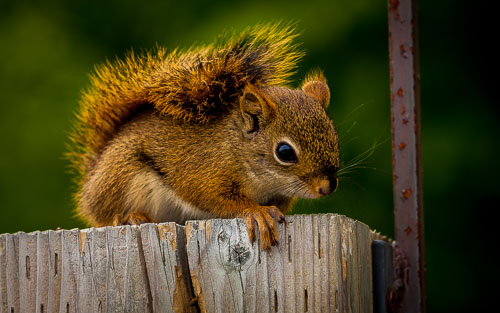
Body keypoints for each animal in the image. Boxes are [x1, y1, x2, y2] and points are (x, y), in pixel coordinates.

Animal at [69, 23, 340, 250]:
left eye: (334, 138)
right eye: (285, 152)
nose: (327, 187)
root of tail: (94, 174)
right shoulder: (203, 173)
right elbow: (216, 199)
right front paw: (256, 212)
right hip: (121, 175)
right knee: (105, 215)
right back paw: (129, 216)